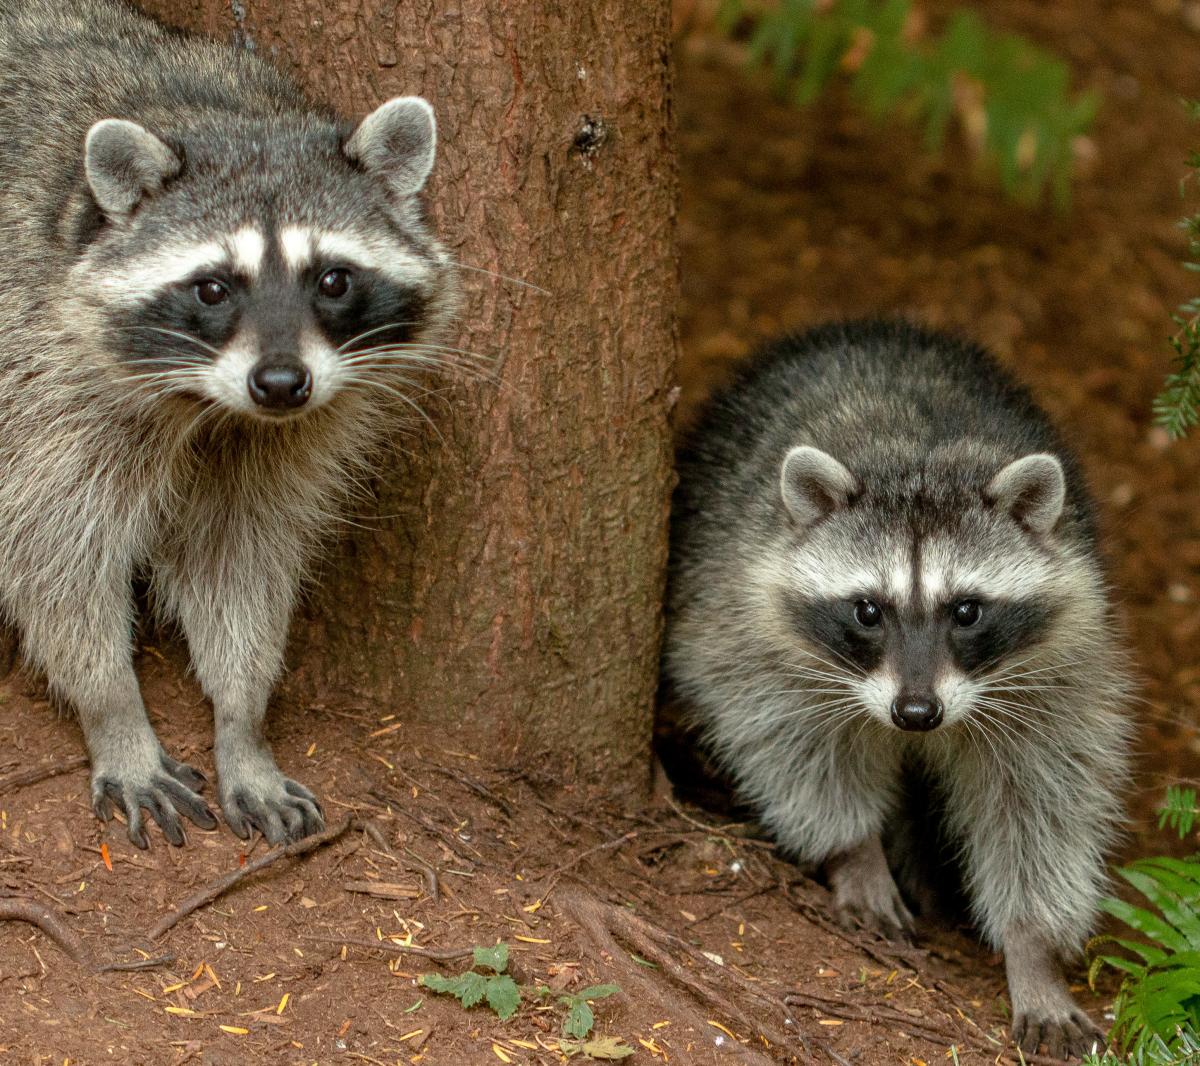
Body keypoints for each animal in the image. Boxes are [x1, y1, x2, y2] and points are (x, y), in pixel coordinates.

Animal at [0, 1, 457, 848]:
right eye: (212, 288)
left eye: (334, 280)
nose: (280, 384)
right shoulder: (38, 382)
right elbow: (54, 560)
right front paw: (115, 713)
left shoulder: (278, 439)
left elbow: (241, 560)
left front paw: (243, 723)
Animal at [664, 320, 1132, 1058]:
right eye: (867, 611)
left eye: (966, 611)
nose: (916, 712)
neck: (919, 455)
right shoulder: (751, 623)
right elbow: (789, 744)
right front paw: (857, 854)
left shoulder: (1059, 669)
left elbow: (1040, 805)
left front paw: (1031, 952)